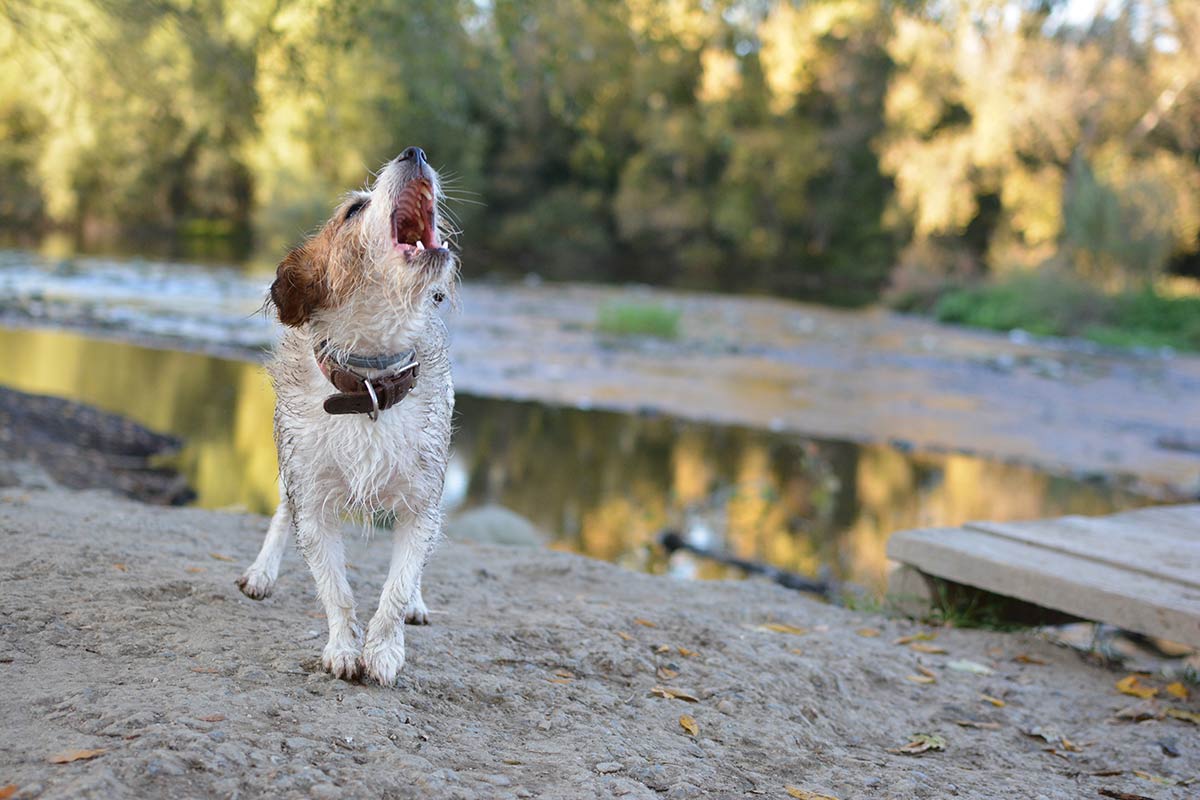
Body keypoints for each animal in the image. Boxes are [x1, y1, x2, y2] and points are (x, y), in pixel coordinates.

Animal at [236, 146, 456, 686]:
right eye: (355, 210)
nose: (415, 151)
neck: (369, 385)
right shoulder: (311, 501)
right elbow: (334, 588)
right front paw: (341, 648)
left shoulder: (422, 502)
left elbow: (398, 584)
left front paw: (383, 651)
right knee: (280, 513)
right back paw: (262, 573)